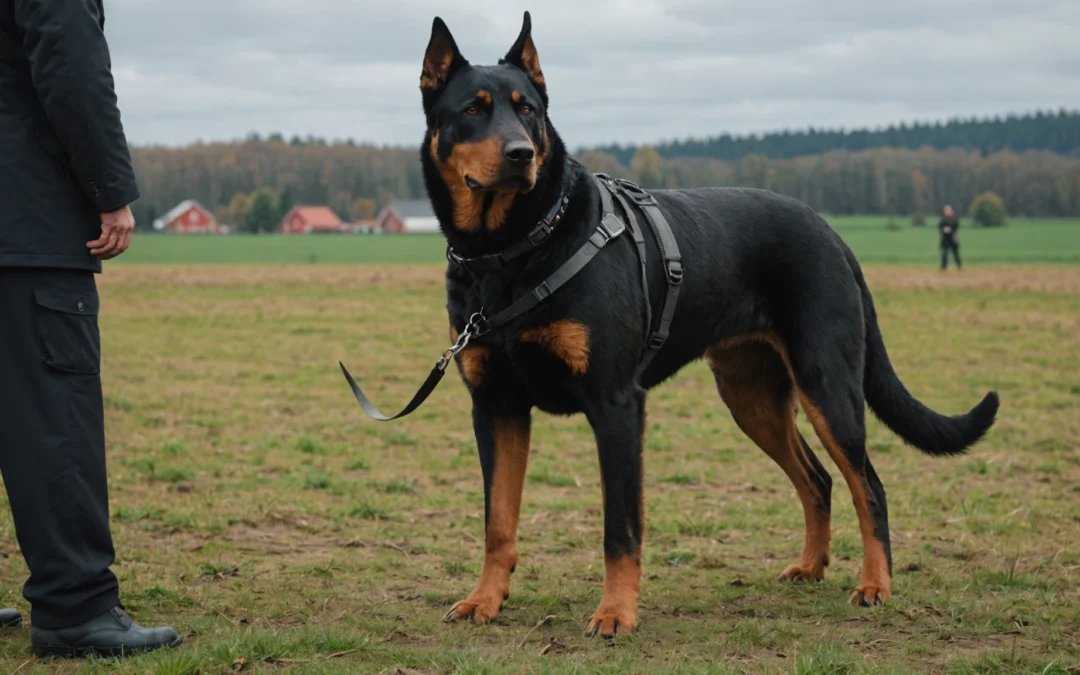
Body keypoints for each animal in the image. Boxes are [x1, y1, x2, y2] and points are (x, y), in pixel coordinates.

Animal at [419, 10, 993, 635]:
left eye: (528, 110)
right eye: (472, 110)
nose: (521, 153)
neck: (512, 249)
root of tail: (833, 234)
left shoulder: (615, 404)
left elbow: (620, 529)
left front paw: (616, 613)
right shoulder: (496, 407)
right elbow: (497, 522)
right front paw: (485, 600)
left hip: (828, 389)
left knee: (870, 486)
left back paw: (875, 585)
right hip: (752, 398)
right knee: (817, 479)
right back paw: (811, 567)